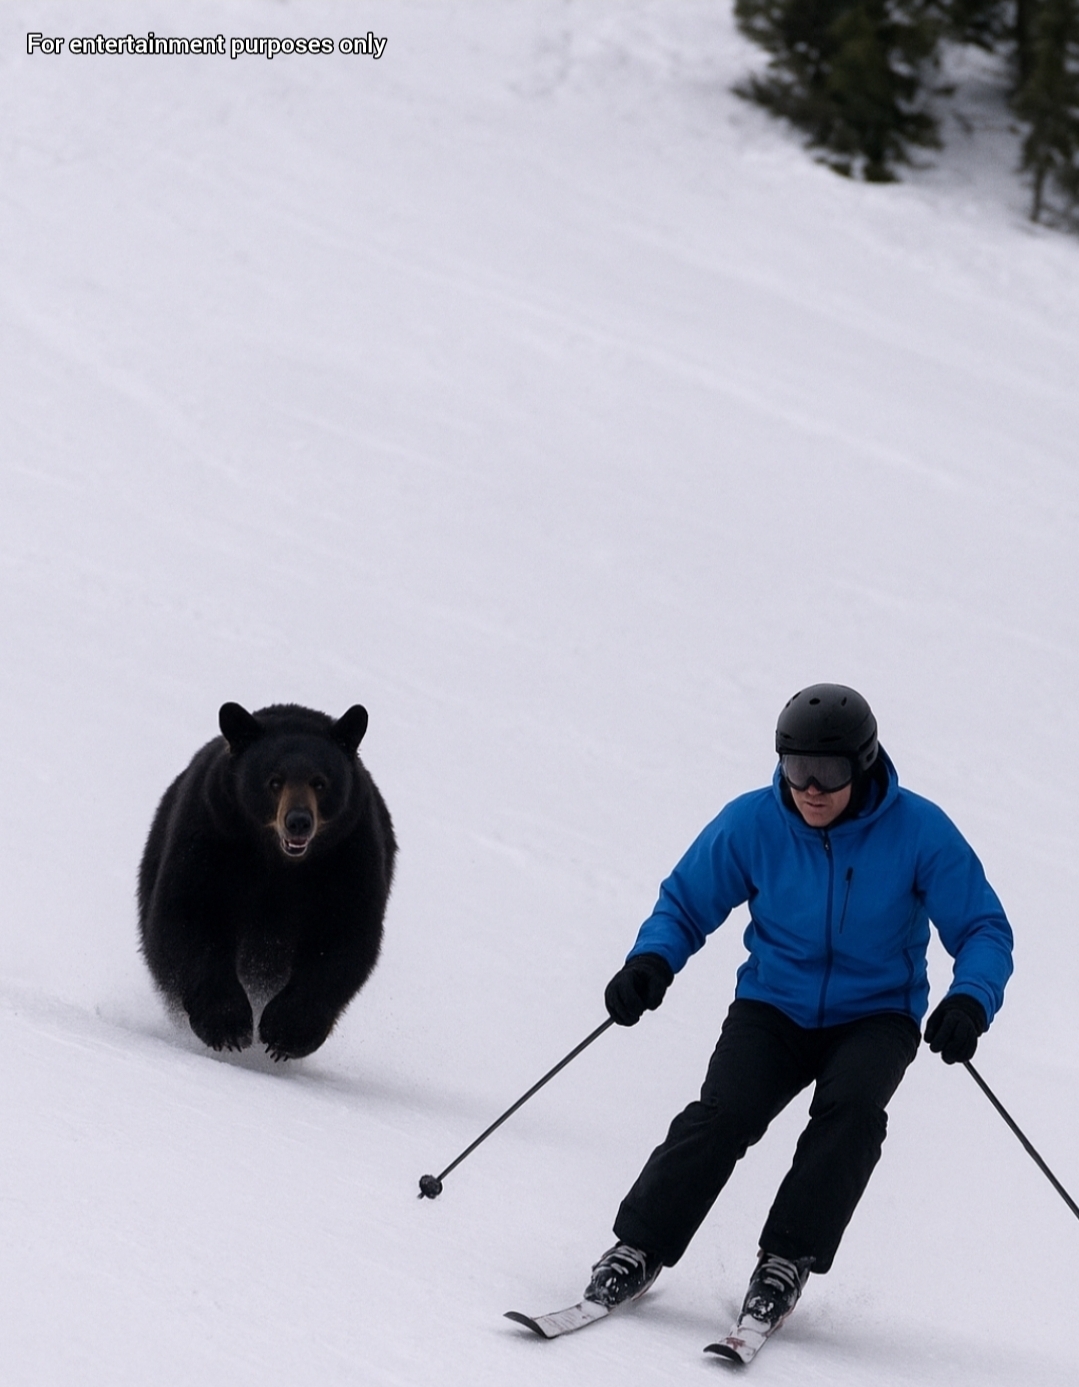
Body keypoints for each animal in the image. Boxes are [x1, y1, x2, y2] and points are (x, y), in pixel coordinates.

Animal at [138, 701, 396, 1060]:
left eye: (320, 782)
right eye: (274, 781)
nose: (298, 821)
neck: (280, 864)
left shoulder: (349, 859)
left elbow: (343, 939)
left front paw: (285, 1032)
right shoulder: (209, 836)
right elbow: (188, 917)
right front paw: (228, 1025)